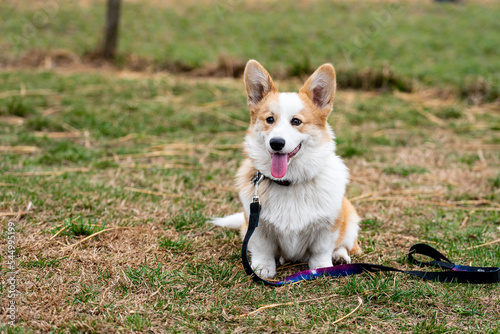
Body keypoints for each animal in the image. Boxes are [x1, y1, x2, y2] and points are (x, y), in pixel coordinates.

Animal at [210, 60, 360, 280]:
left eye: (296, 121)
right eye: (269, 119)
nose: (276, 143)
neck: (290, 182)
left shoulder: (327, 226)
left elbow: (321, 250)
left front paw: (321, 267)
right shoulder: (256, 225)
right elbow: (262, 248)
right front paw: (263, 268)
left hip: (349, 218)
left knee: (345, 244)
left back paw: (340, 257)